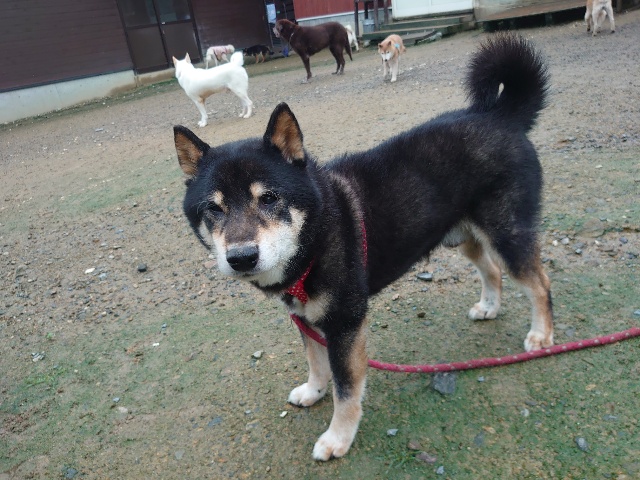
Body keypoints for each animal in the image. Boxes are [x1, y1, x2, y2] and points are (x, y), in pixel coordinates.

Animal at [174, 33, 553, 460]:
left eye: (269, 198)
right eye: (213, 209)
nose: (241, 258)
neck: (317, 235)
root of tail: (501, 116)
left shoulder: (345, 323)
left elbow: (346, 388)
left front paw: (338, 438)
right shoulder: (307, 319)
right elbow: (316, 364)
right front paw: (313, 391)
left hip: (507, 233)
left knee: (539, 283)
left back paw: (542, 336)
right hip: (464, 236)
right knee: (491, 269)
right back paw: (489, 307)